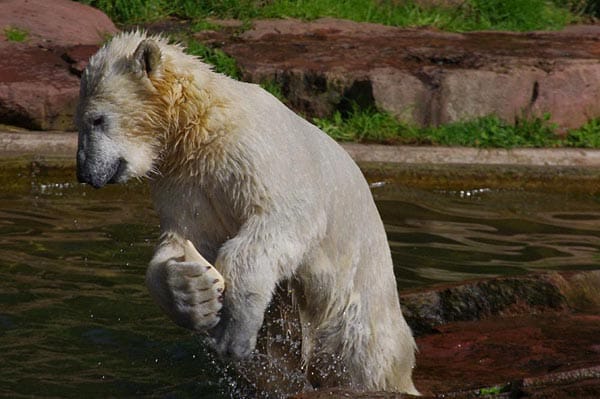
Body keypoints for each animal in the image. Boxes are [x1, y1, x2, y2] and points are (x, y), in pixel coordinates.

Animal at [75, 30, 420, 396]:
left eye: (97, 119)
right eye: (79, 121)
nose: (83, 173)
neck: (201, 122)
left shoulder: (253, 154)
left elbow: (278, 224)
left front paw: (233, 334)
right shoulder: (183, 180)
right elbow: (182, 239)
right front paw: (194, 293)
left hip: (355, 314)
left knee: (367, 362)